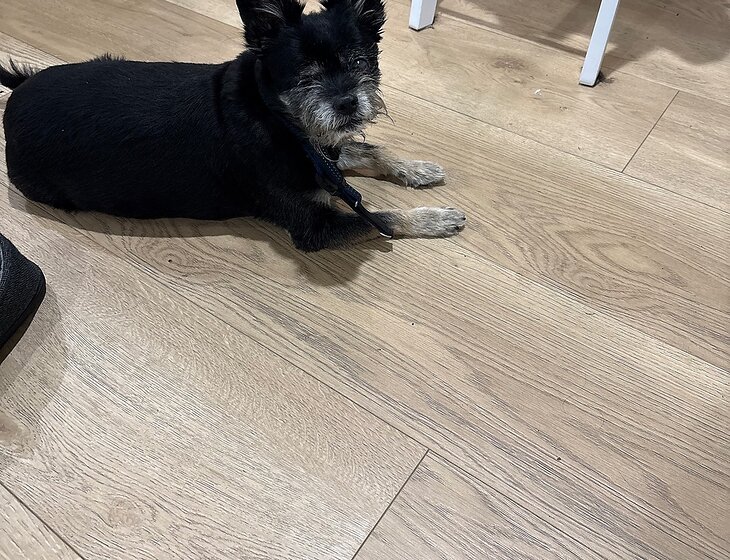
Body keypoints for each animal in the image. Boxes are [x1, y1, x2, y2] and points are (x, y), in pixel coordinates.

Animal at [0, 0, 466, 252]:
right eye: (303, 76)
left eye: (360, 61)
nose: (348, 102)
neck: (277, 115)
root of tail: (17, 94)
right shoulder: (315, 226)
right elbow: (381, 219)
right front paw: (435, 220)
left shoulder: (325, 148)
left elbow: (369, 150)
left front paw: (418, 169)